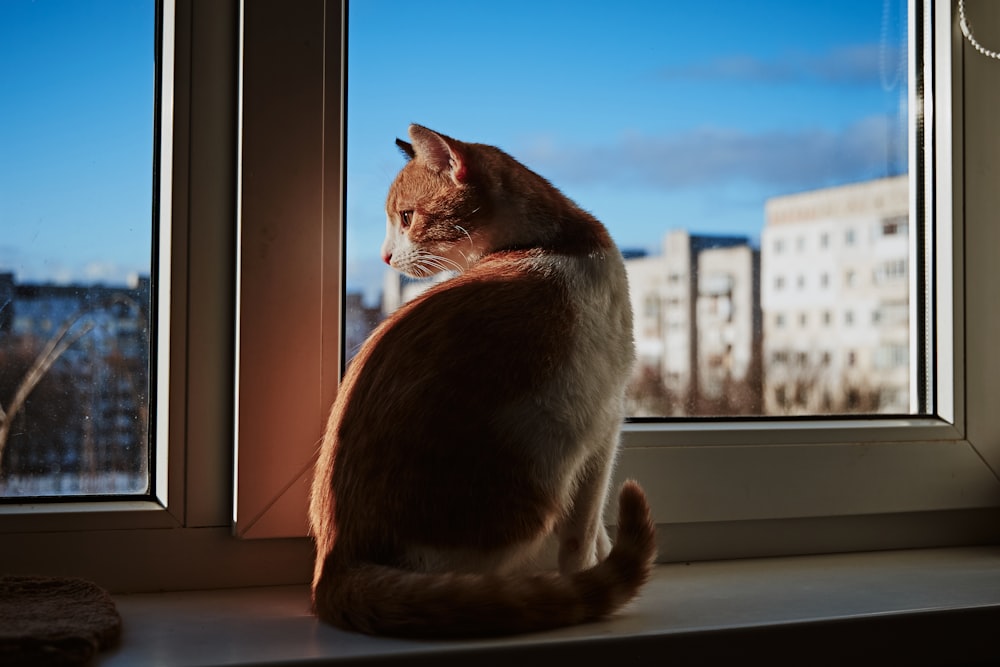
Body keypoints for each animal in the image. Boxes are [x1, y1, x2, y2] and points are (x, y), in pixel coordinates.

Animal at [310, 124, 656, 636]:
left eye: (406, 217)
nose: (385, 256)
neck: (556, 241)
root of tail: (334, 563)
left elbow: (596, 534)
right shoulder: (603, 428)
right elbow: (585, 533)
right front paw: (594, 573)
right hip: (545, 463)